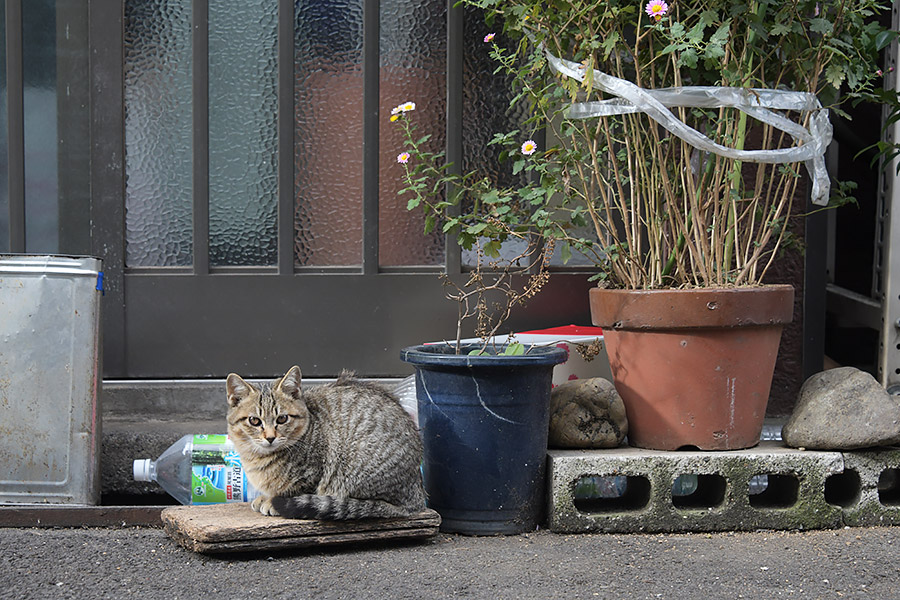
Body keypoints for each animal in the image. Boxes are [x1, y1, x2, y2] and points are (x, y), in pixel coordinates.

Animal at [223, 366, 424, 520]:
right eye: (254, 421)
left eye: (282, 418)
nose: (270, 437)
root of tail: (417, 496)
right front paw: (264, 497)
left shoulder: (311, 474)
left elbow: (294, 490)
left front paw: (271, 501)